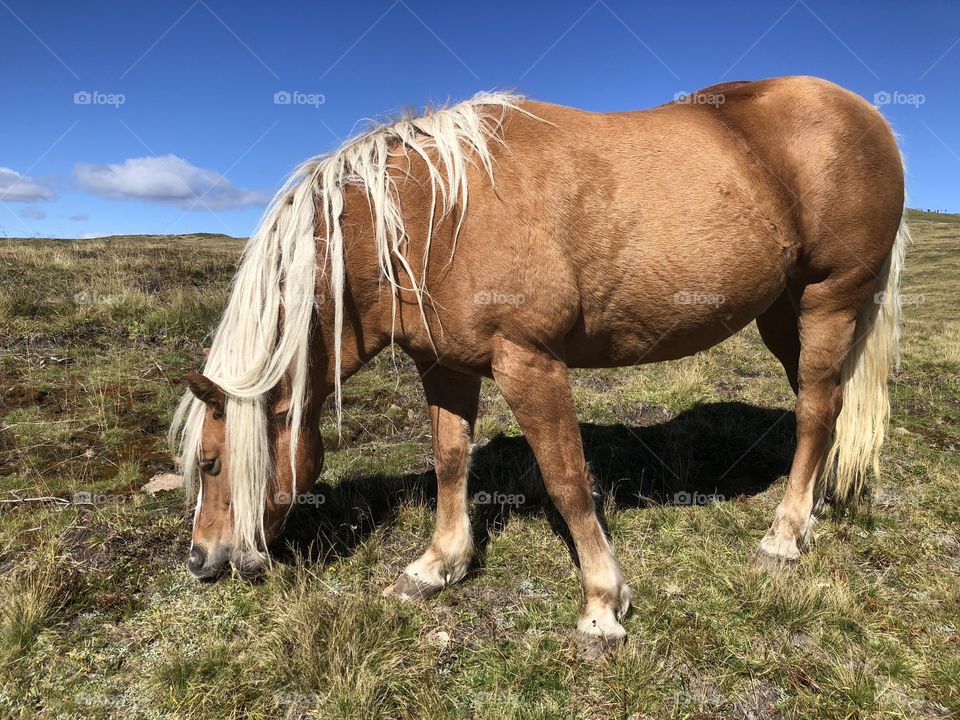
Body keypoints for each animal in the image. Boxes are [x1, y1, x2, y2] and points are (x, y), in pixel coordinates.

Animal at [171, 76, 908, 645]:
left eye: (209, 463)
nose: (201, 560)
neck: (431, 218)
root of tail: (864, 115)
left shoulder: (529, 363)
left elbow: (567, 479)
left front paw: (602, 603)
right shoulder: (445, 368)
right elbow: (450, 462)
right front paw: (438, 565)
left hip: (828, 301)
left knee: (816, 408)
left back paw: (784, 534)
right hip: (782, 314)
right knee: (825, 409)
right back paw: (813, 508)